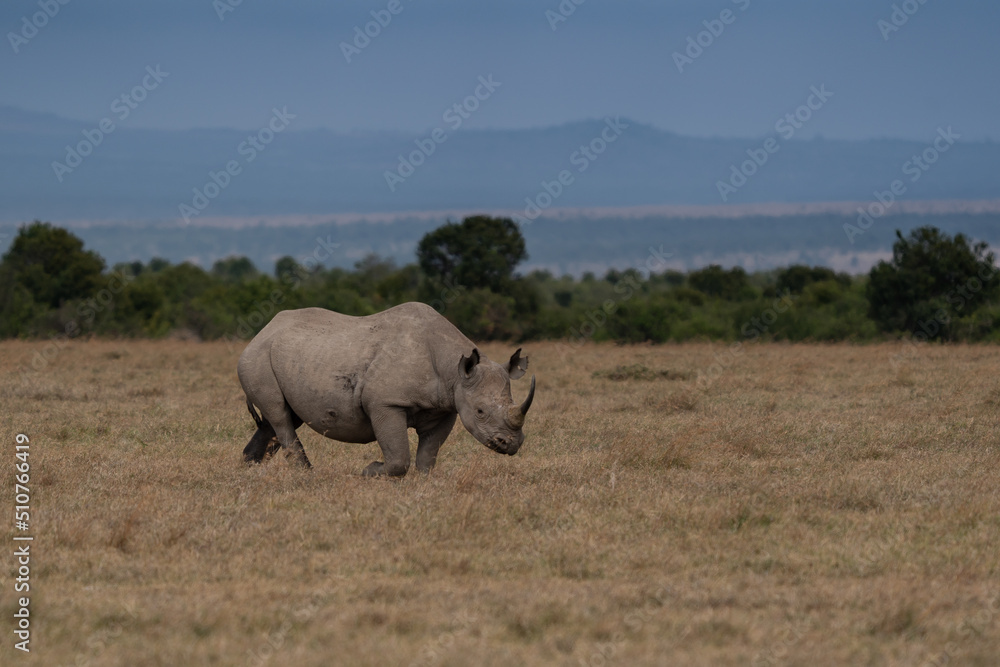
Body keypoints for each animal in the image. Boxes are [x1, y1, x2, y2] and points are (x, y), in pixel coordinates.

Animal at [237, 303, 535, 476]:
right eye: (481, 411)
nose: (510, 445)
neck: (455, 372)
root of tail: (263, 330)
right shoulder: (385, 402)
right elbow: (398, 458)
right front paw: (370, 470)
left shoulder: (446, 406)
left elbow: (428, 455)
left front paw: (423, 481)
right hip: (257, 357)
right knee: (280, 416)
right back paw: (306, 475)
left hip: (289, 357)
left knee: (283, 418)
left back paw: (248, 469)